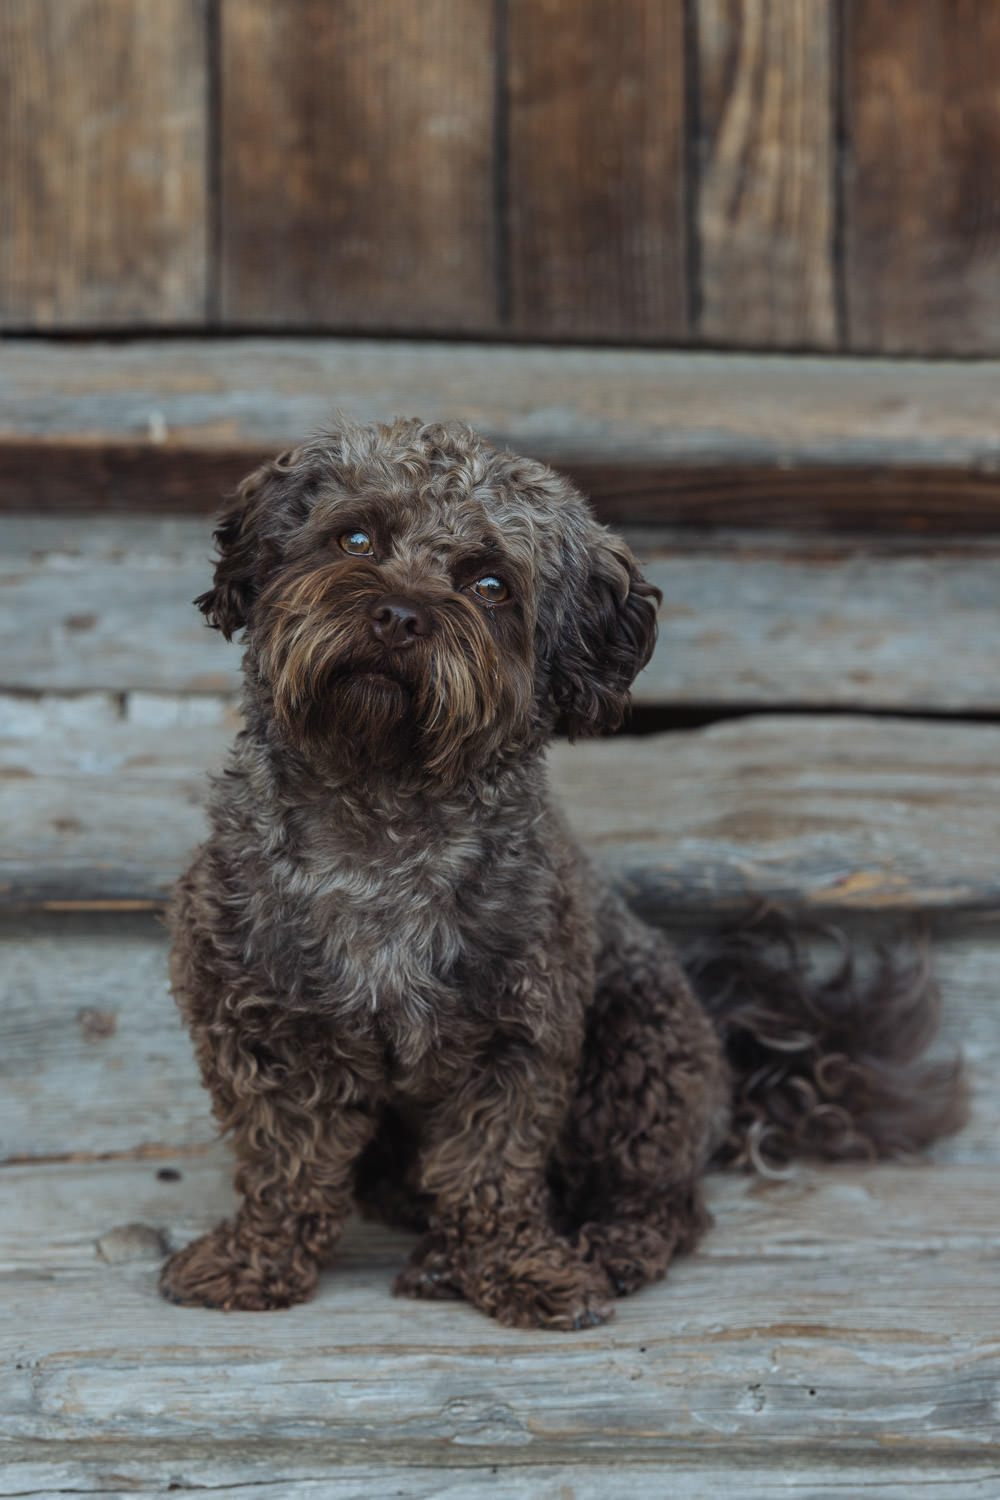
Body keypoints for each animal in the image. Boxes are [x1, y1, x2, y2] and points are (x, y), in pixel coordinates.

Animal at [160, 417, 965, 1332]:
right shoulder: (261, 1030)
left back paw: (586, 1250)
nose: (398, 615)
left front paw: (521, 1270)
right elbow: (283, 1165)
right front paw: (254, 1262)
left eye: (489, 584)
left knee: (663, 1204)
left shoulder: (517, 1041)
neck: (382, 827)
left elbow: (492, 1173)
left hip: (641, 1056)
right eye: (354, 538)